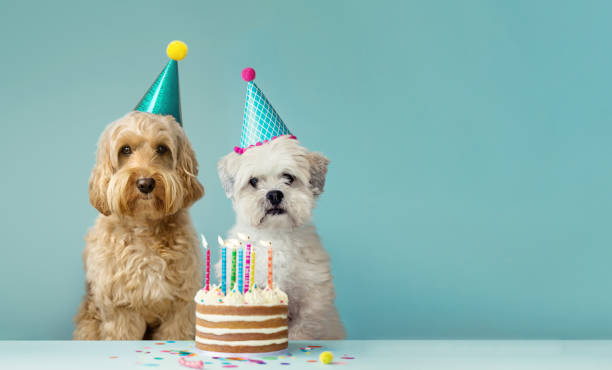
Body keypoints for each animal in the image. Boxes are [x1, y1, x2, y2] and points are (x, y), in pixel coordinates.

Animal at [218, 135, 344, 338]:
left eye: (288, 177)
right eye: (253, 181)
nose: (274, 194)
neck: (275, 236)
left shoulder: (313, 297)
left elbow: (304, 325)